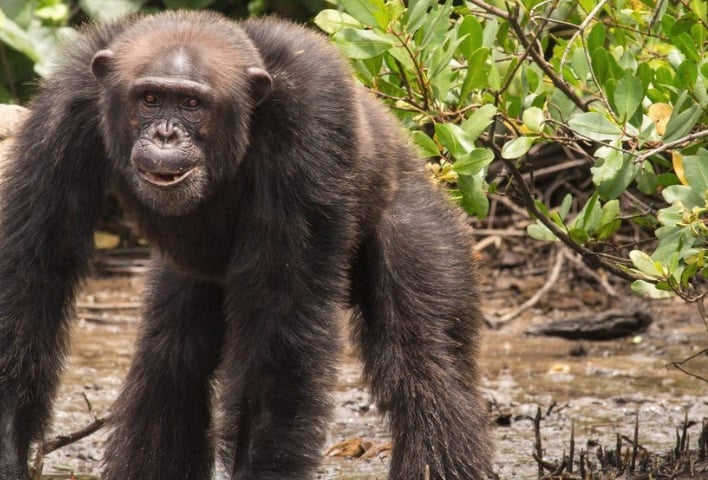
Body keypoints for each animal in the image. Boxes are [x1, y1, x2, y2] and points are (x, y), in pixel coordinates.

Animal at [0, 11, 492, 480]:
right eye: (150, 99)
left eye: (192, 104)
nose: (165, 134)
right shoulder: (66, 107)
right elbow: (34, 267)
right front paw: (7, 453)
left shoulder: (311, 116)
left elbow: (280, 311)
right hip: (190, 276)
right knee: (170, 356)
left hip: (428, 227)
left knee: (424, 359)